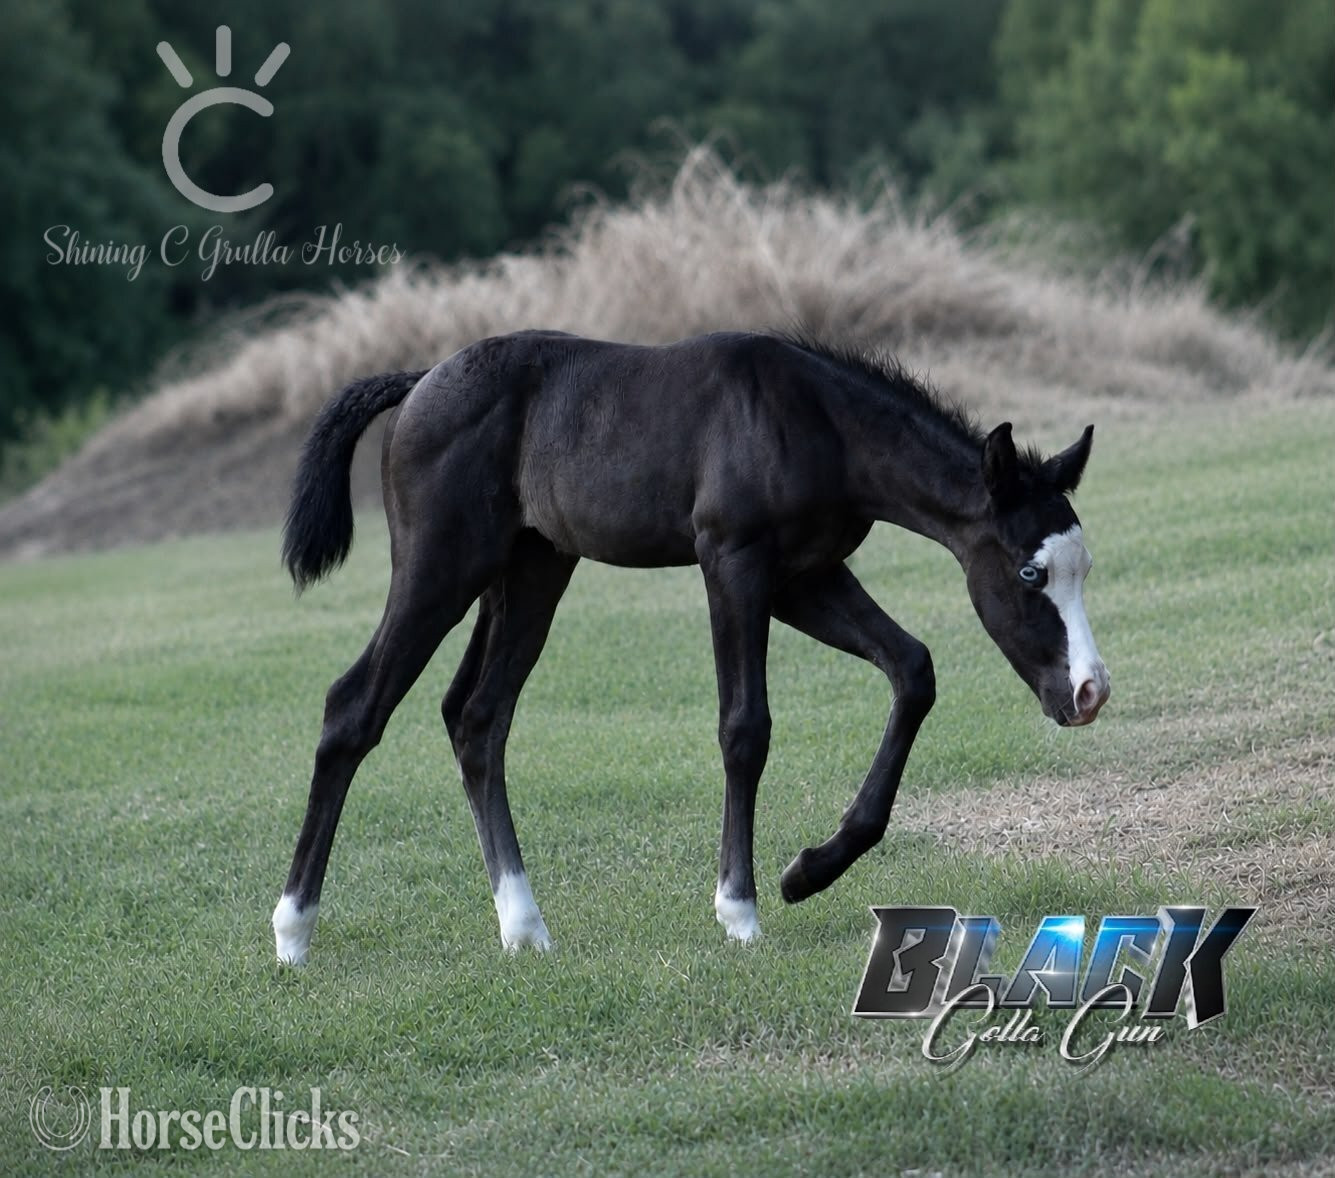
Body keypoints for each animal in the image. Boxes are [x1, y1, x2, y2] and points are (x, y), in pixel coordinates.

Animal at [271, 330, 1110, 964]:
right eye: (1029, 571)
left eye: (1083, 567)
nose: (1088, 692)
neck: (816, 424)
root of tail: (419, 384)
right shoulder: (732, 561)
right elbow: (745, 728)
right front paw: (738, 907)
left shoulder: (803, 577)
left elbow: (912, 668)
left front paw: (810, 870)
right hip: (441, 565)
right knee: (354, 708)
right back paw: (292, 931)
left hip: (531, 569)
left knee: (476, 717)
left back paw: (524, 926)